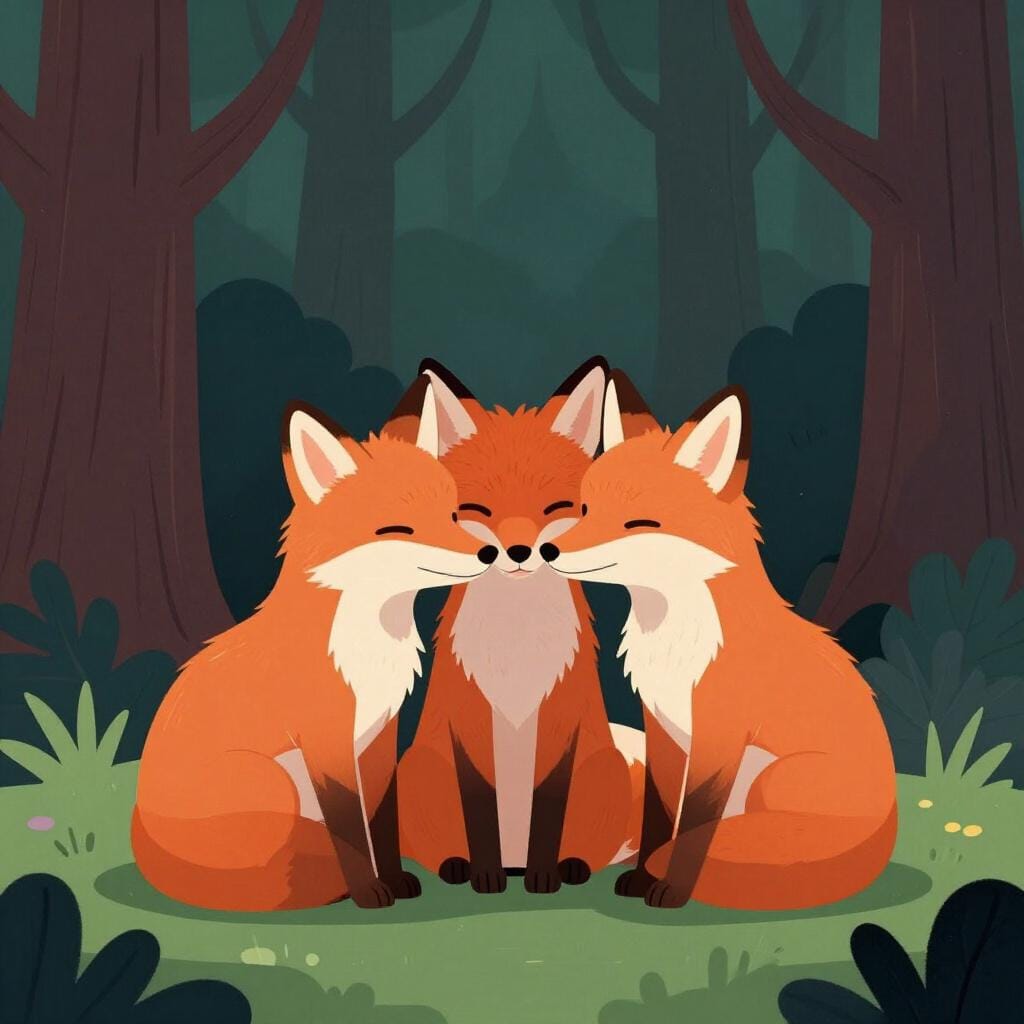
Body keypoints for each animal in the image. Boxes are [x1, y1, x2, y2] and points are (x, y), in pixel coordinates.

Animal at [132, 383, 495, 911]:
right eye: (398, 529)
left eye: (452, 513)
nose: (490, 553)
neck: (367, 649)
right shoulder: (326, 740)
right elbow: (348, 828)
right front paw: (369, 891)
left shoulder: (378, 735)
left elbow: (381, 821)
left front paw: (394, 880)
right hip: (275, 785)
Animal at [385, 358, 643, 894]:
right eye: (478, 512)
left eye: (557, 509)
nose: (521, 551)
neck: (517, 645)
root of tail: (514, 858)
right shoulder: (465, 725)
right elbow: (479, 808)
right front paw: (484, 877)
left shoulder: (563, 727)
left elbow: (549, 809)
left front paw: (545, 877)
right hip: (422, 764)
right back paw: (458, 866)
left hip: (601, 764)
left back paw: (570, 866)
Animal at [538, 371, 897, 910]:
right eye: (584, 508)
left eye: (638, 523)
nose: (545, 549)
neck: (676, 641)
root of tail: (889, 824)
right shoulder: (664, 729)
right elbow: (660, 817)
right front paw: (643, 878)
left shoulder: (719, 734)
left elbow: (696, 823)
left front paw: (671, 889)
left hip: (771, 781)